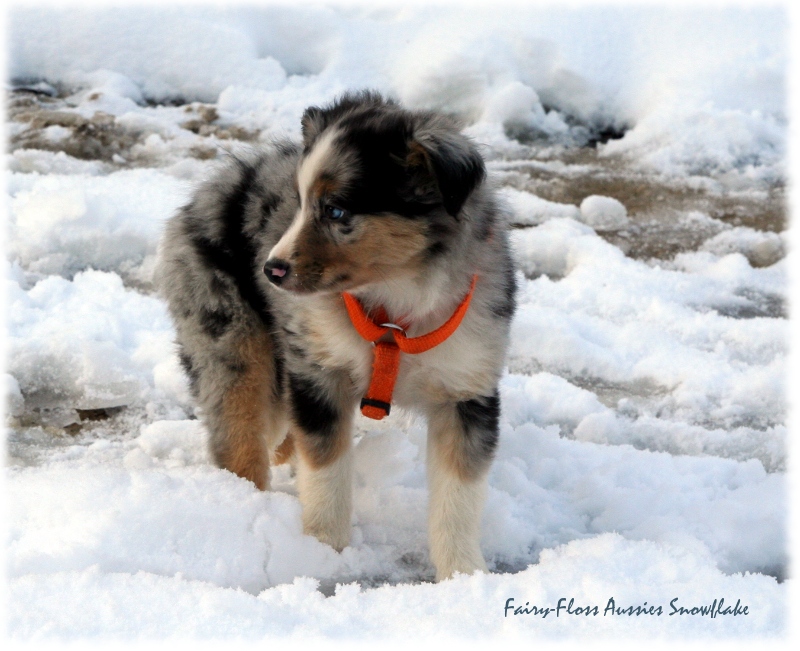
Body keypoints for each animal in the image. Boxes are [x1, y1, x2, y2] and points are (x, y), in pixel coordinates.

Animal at [157, 90, 520, 580]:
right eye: (298, 204)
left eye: (335, 210)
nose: (271, 271)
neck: (396, 304)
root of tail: (220, 183)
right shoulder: (318, 372)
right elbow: (326, 470)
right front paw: (324, 551)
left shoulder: (466, 388)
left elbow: (458, 495)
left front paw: (464, 576)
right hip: (230, 340)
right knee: (239, 434)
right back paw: (243, 506)